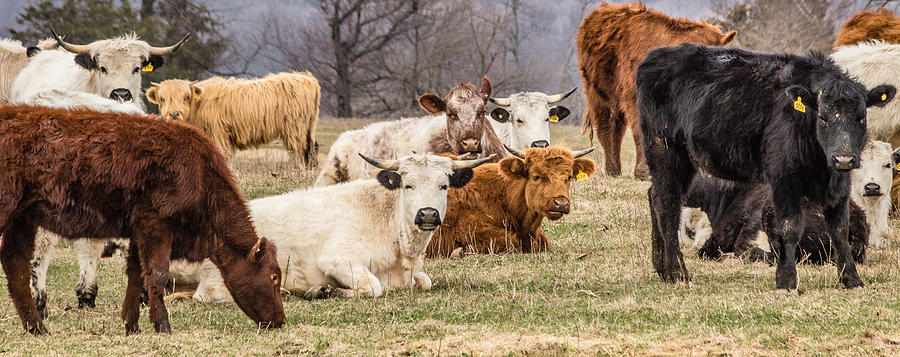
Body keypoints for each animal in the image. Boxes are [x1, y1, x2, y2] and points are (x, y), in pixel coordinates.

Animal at [0, 105, 284, 334]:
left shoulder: (138, 232)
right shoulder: (155, 225)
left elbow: (136, 275)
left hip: (22, 219)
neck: (200, 174)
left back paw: (37, 328)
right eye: (274, 277)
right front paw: (162, 325)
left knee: (15, 265)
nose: (280, 321)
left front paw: (132, 324)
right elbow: (157, 274)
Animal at [146, 72, 318, 168]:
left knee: (298, 152)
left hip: (295, 128)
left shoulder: (218, 135)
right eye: (162, 99)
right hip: (308, 128)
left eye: (186, 97)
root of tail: (307, 77)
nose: (174, 114)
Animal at [428, 145, 596, 256]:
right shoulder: (470, 230)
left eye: (568, 177)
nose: (560, 203)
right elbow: (511, 242)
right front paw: (459, 252)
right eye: (536, 176)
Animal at [580, 2, 736, 179]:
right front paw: (643, 171)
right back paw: (612, 169)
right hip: (598, 94)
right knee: (606, 128)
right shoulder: (634, 99)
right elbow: (640, 132)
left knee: (617, 129)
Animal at [636, 43, 896, 290]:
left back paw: (662, 269)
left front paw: (851, 278)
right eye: (822, 117)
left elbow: (839, 228)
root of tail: (655, 57)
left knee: (655, 196)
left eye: (861, 116)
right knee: (667, 205)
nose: (843, 158)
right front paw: (786, 280)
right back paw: (678, 273)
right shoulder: (783, 178)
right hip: (665, 150)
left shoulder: (839, 184)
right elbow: (789, 226)